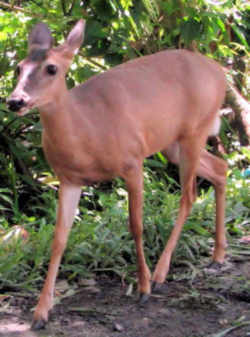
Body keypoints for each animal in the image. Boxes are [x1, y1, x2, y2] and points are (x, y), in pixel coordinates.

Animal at [7, 20, 228, 328]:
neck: (88, 131)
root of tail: (221, 72)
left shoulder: (133, 161)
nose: (15, 101)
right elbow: (59, 239)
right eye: (18, 67)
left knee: (189, 195)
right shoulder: (69, 179)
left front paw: (143, 288)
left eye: (51, 68)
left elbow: (136, 225)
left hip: (195, 131)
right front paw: (41, 313)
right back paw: (218, 255)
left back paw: (160, 274)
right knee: (220, 169)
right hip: (172, 143)